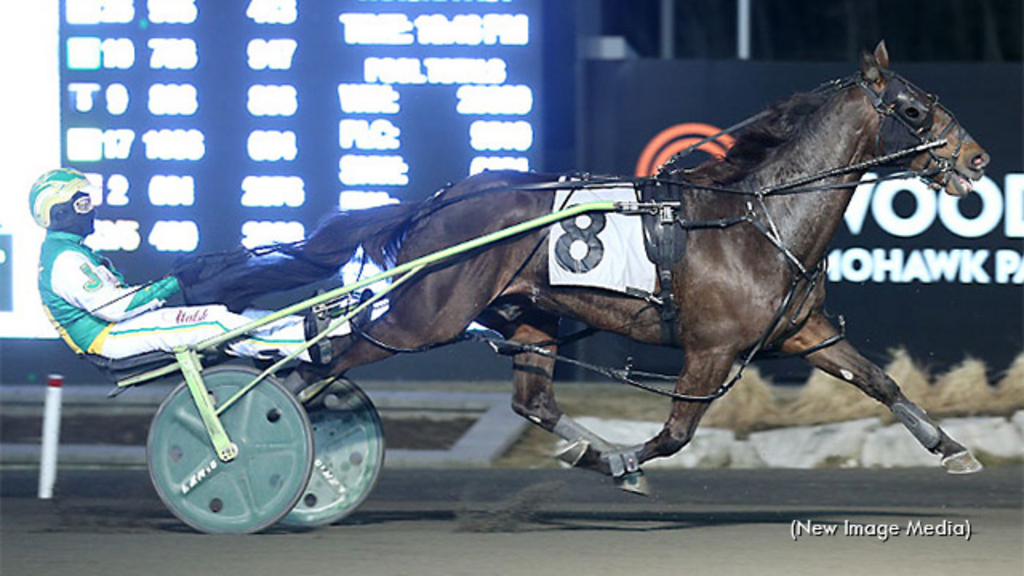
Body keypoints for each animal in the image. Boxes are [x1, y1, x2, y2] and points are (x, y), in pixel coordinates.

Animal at [188, 41, 987, 487]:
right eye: (914, 110)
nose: (977, 159)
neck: (758, 217)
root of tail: (440, 199)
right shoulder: (710, 348)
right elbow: (677, 434)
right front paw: (629, 461)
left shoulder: (805, 332)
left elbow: (880, 382)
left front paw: (952, 449)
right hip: (424, 316)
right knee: (329, 358)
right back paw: (252, 437)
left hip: (528, 314)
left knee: (532, 401)